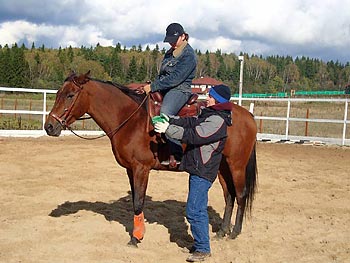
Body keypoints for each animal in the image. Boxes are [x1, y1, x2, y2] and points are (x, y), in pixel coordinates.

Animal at [44, 70, 258, 248]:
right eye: (58, 93)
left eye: (70, 95)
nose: (49, 126)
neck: (130, 119)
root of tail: (248, 116)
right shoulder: (130, 169)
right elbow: (135, 202)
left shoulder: (141, 169)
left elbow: (139, 201)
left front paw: (136, 238)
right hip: (222, 166)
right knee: (229, 196)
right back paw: (222, 231)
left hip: (236, 165)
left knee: (240, 195)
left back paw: (235, 232)